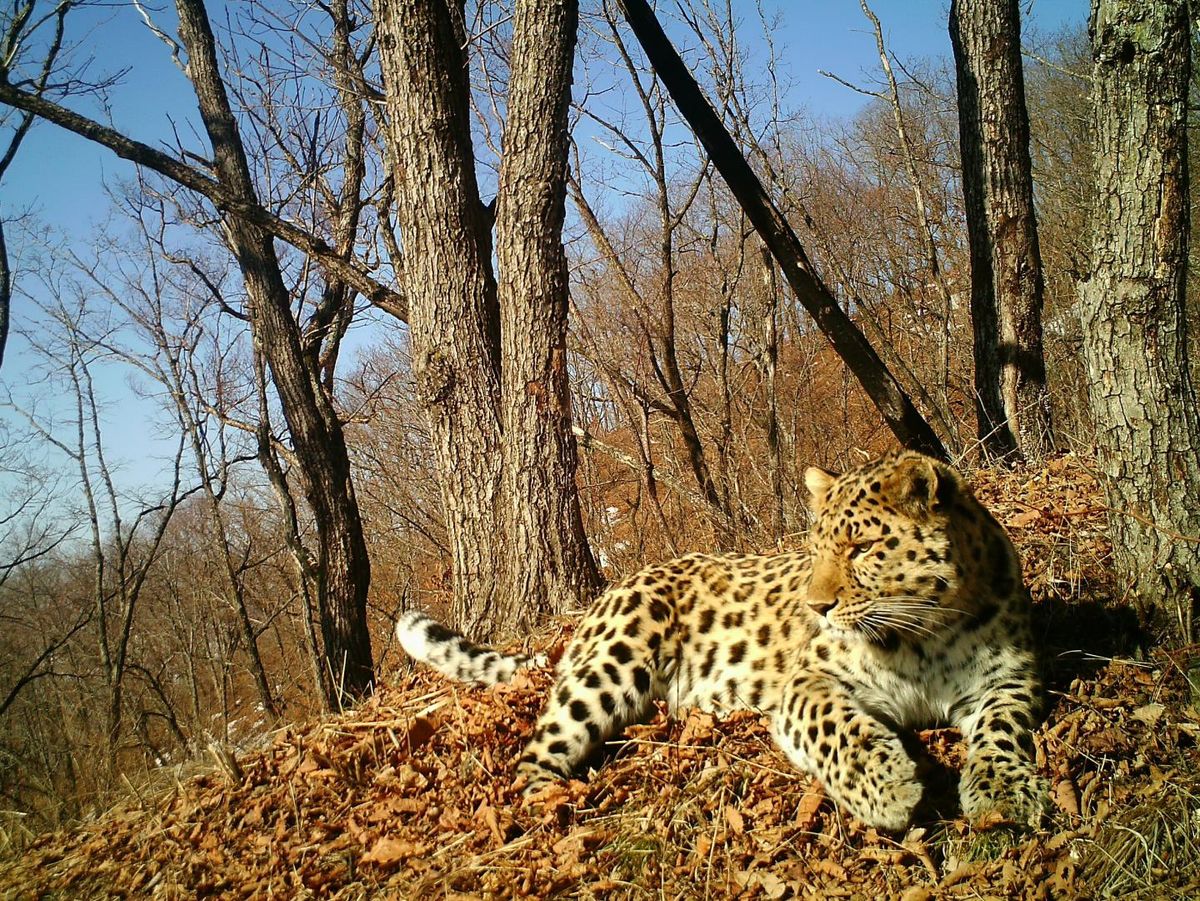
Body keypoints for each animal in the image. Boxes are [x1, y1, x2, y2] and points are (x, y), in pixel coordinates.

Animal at [391, 451, 1041, 830]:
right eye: (816, 547)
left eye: (861, 548)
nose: (817, 607)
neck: (928, 632)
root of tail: (607, 595)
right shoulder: (809, 681)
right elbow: (838, 728)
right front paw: (889, 790)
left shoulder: (1009, 676)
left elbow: (1002, 730)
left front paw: (1004, 793)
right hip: (610, 665)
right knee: (533, 757)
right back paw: (554, 809)